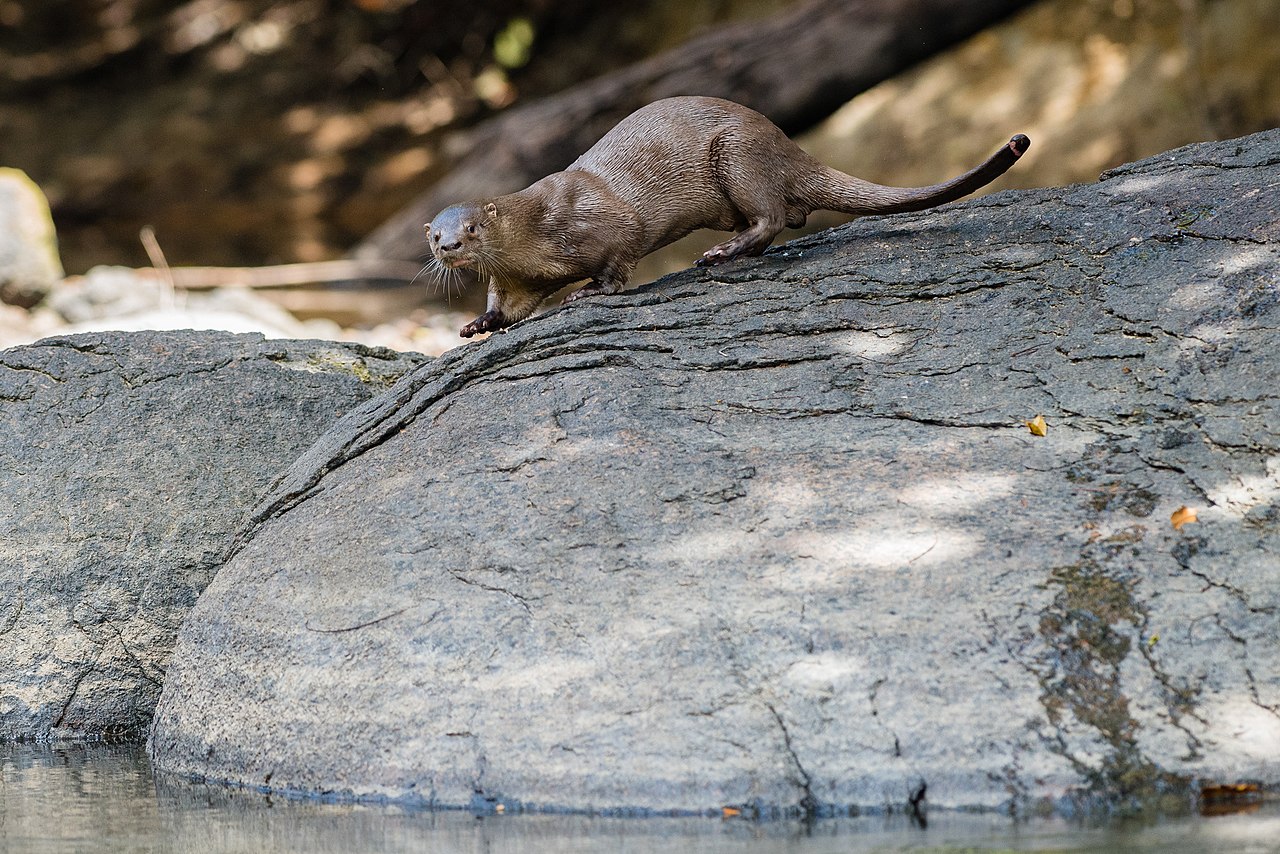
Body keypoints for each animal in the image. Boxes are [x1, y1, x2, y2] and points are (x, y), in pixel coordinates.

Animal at [427, 96, 1030, 338]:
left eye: (474, 227)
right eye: (435, 237)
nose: (450, 247)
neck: (538, 231)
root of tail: (787, 146)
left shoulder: (602, 224)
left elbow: (618, 261)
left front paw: (589, 292)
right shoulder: (517, 279)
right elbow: (507, 307)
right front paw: (478, 324)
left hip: (737, 154)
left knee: (776, 217)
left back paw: (720, 254)